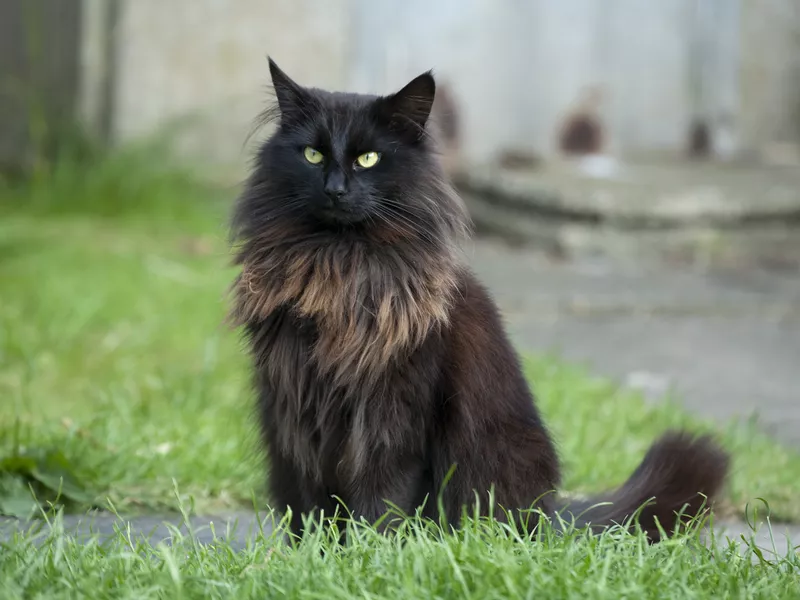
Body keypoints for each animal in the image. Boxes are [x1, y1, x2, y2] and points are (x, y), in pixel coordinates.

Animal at [228, 59, 728, 540]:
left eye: (368, 159)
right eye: (312, 155)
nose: (335, 189)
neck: (338, 267)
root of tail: (549, 515)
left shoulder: (396, 410)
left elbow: (382, 500)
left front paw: (368, 552)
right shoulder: (295, 413)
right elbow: (312, 506)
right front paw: (315, 553)